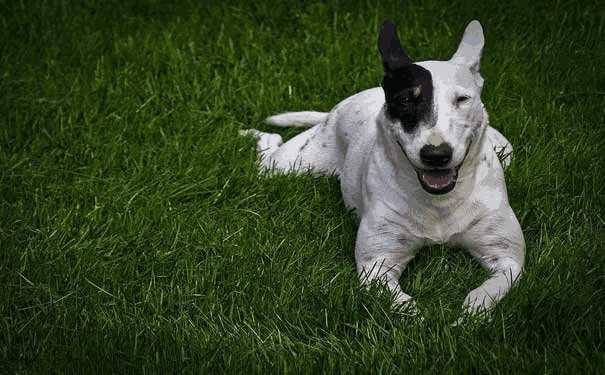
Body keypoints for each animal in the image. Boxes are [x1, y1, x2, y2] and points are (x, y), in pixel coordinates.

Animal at [241, 21, 524, 320]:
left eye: (462, 99)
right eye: (405, 100)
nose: (436, 154)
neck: (439, 201)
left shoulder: (507, 259)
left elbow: (488, 290)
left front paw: (469, 316)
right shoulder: (377, 265)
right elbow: (405, 306)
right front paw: (426, 321)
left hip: (507, 151)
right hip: (291, 164)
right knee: (271, 144)